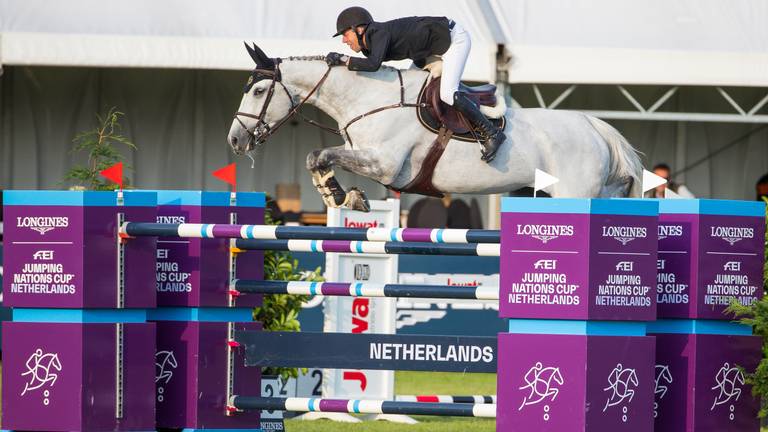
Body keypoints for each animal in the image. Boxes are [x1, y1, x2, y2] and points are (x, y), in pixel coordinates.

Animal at [226, 44, 640, 212]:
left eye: (259, 91)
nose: (235, 139)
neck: (368, 97)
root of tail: (594, 126)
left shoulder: (385, 165)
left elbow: (319, 154)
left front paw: (345, 197)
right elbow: (318, 158)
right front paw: (343, 197)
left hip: (575, 192)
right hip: (601, 192)